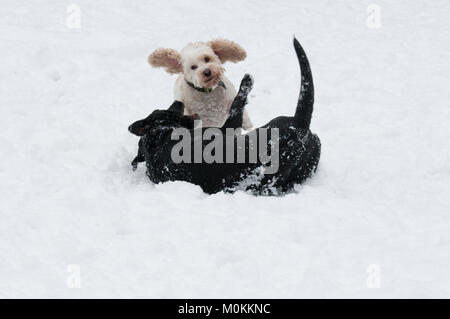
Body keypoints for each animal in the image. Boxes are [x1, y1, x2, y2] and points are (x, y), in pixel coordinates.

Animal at [128, 38, 322, 196]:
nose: (177, 101)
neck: (161, 139)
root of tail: (299, 124)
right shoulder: (226, 128)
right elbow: (236, 106)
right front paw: (246, 83)